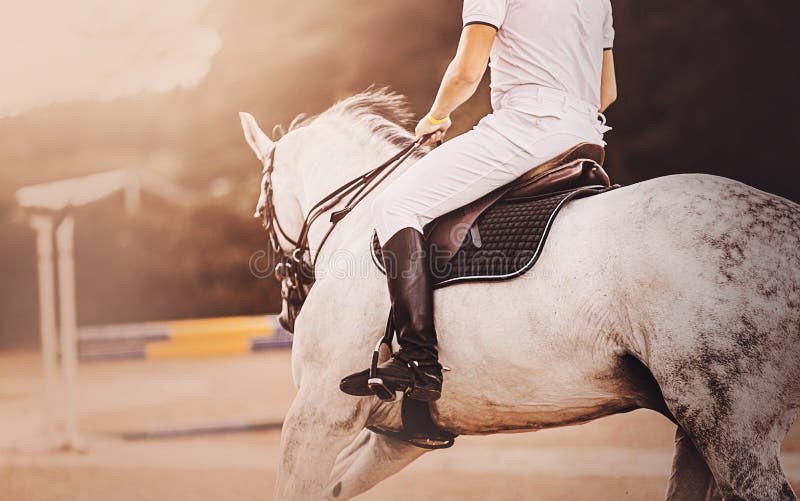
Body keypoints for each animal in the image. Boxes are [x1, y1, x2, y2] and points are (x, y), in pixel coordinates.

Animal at [241, 88, 800, 498]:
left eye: (260, 212)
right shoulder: (403, 437)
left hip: (727, 425)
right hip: (699, 427)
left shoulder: (318, 413)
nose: (287, 313)